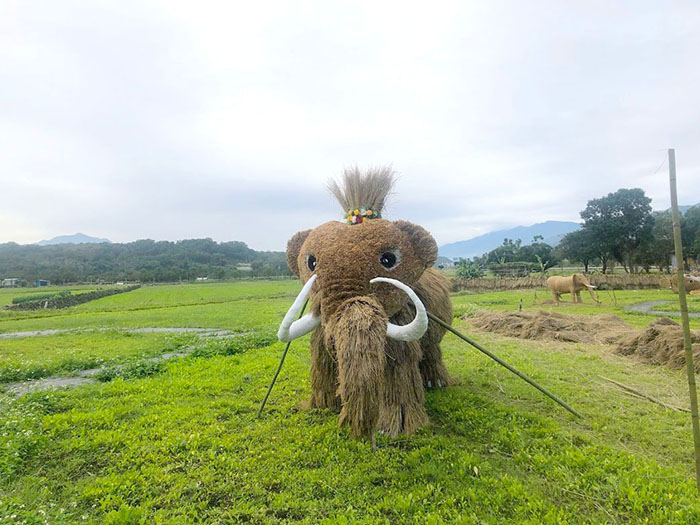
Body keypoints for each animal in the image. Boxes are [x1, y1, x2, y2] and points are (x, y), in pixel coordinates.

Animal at [276, 167, 452, 439]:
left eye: (389, 259)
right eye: (311, 263)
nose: (355, 428)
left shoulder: (400, 320)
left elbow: (398, 365)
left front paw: (393, 428)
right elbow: (321, 357)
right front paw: (325, 405)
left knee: (432, 349)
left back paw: (436, 383)